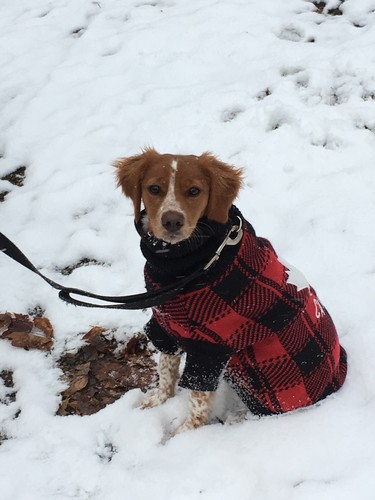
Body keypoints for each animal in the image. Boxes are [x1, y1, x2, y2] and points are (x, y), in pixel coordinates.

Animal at [114, 147, 346, 434]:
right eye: (154, 188)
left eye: (194, 191)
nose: (172, 221)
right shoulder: (166, 326)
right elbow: (166, 370)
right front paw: (157, 400)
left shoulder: (210, 350)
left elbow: (197, 402)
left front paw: (183, 436)